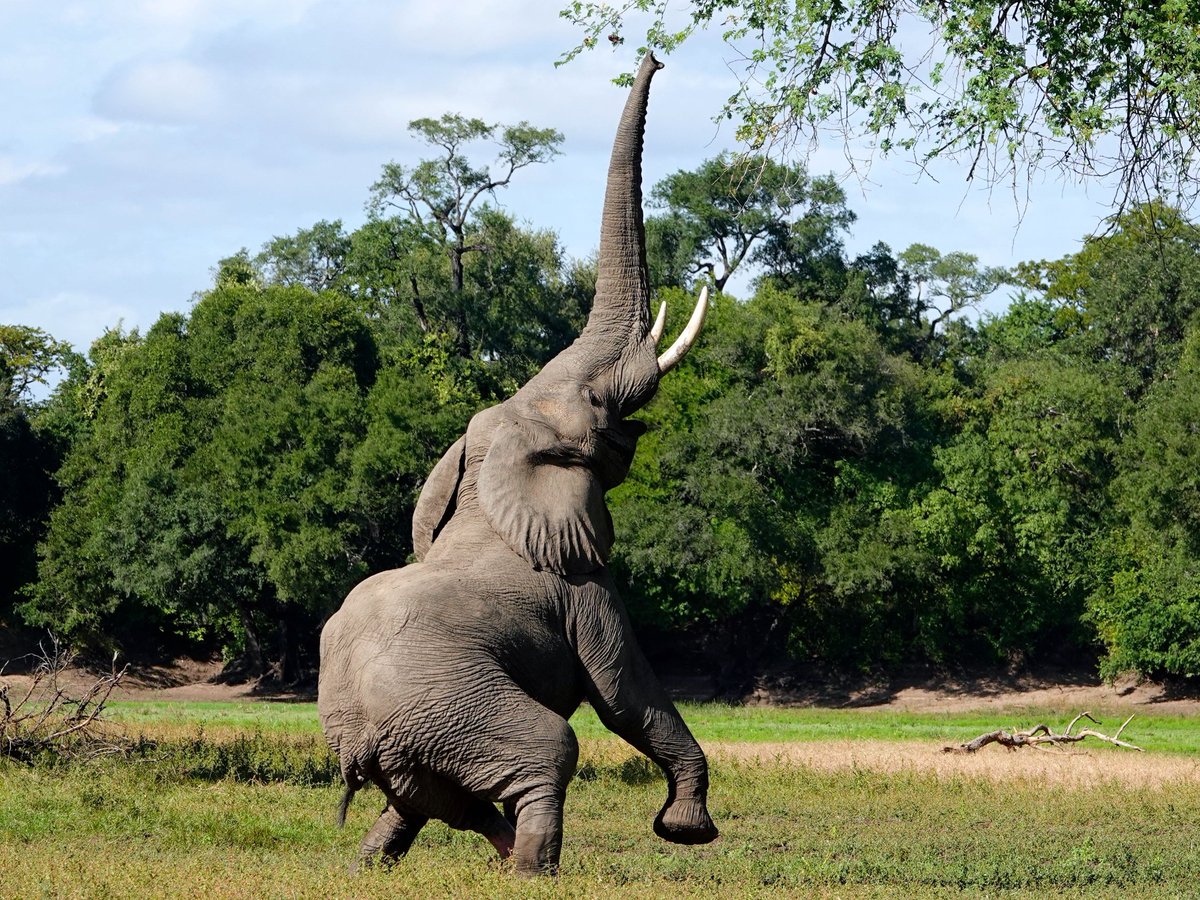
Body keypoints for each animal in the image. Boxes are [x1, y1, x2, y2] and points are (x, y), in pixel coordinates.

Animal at [314, 52, 715, 878]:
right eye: (597, 405)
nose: (657, 54)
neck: (489, 474)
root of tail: (354, 736)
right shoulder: (586, 590)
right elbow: (626, 692)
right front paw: (687, 829)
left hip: (420, 731)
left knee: (424, 798)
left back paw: (387, 867)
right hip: (452, 705)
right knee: (547, 751)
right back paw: (531, 869)